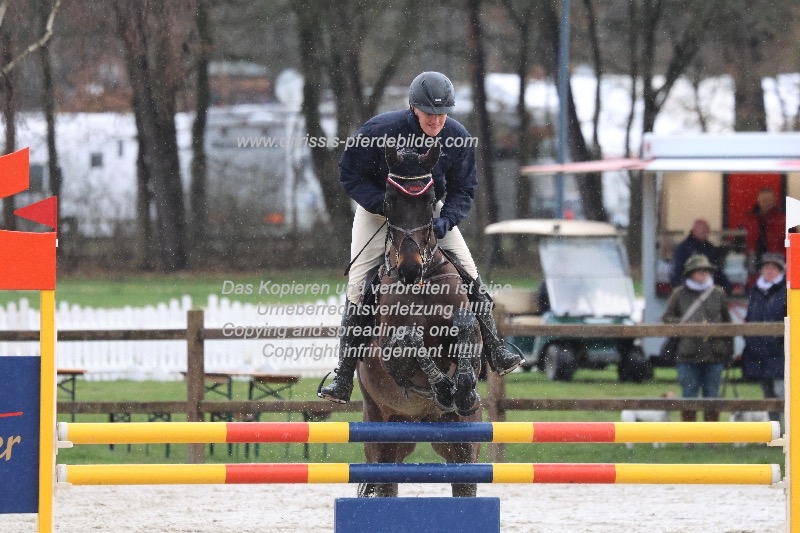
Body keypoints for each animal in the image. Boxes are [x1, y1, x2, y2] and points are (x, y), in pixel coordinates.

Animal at [356, 143, 482, 496]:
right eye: (387, 202)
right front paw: (443, 387)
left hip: (462, 442)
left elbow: (465, 331)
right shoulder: (390, 355)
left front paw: (462, 389)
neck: (422, 285)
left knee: (464, 478)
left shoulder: (468, 334)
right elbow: (411, 342)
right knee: (385, 480)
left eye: (430, 201)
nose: (410, 269)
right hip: (381, 430)